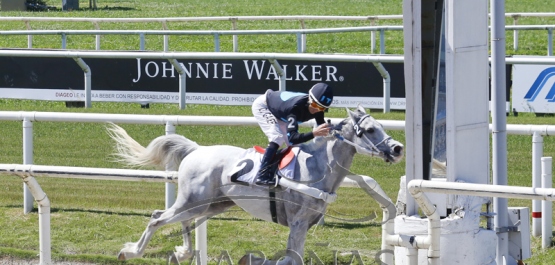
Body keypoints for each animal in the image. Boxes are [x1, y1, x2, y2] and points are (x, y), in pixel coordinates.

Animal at [108, 105, 404, 264]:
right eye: (369, 130)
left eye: (380, 126)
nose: (398, 148)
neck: (317, 167)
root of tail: (196, 149)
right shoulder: (298, 222)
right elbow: (290, 258)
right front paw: (254, 258)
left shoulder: (305, 224)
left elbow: (292, 257)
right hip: (194, 201)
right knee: (157, 218)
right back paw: (130, 252)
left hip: (211, 204)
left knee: (181, 220)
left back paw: (182, 253)